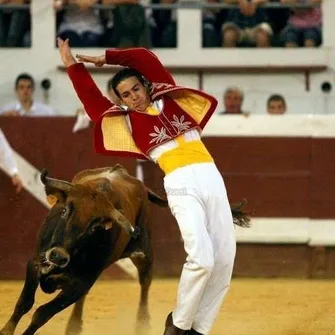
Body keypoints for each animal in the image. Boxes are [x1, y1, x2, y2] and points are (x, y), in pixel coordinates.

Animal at [0, 164, 251, 334]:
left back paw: (142, 323)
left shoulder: (80, 282)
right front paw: (7, 330)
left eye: (95, 226)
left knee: (145, 283)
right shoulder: (36, 263)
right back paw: (74, 326)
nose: (57, 256)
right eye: (65, 210)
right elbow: (24, 303)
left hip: (144, 254)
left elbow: (42, 313)